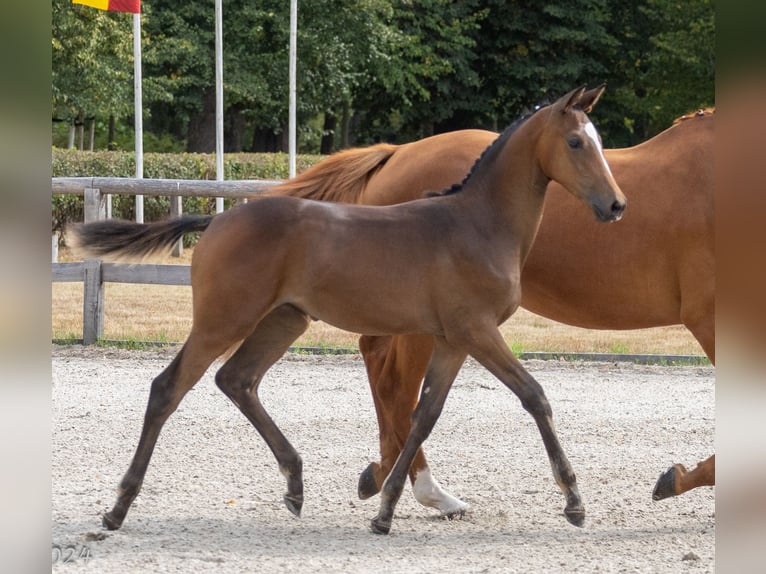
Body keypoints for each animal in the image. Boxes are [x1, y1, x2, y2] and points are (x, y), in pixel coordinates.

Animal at [71, 86, 626, 534]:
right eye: (576, 143)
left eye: (598, 140)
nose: (616, 205)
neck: (478, 225)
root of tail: (217, 220)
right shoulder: (479, 331)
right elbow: (535, 396)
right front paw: (574, 501)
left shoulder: (453, 339)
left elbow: (424, 414)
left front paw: (385, 511)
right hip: (223, 319)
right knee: (169, 388)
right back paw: (117, 508)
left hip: (284, 319)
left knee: (237, 379)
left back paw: (295, 484)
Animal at [269, 108, 715, 513]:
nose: (616, 206)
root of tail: (397, 153)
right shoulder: (707, 318)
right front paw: (676, 479)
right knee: (397, 385)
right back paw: (424, 489)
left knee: (383, 367)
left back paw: (384, 475)